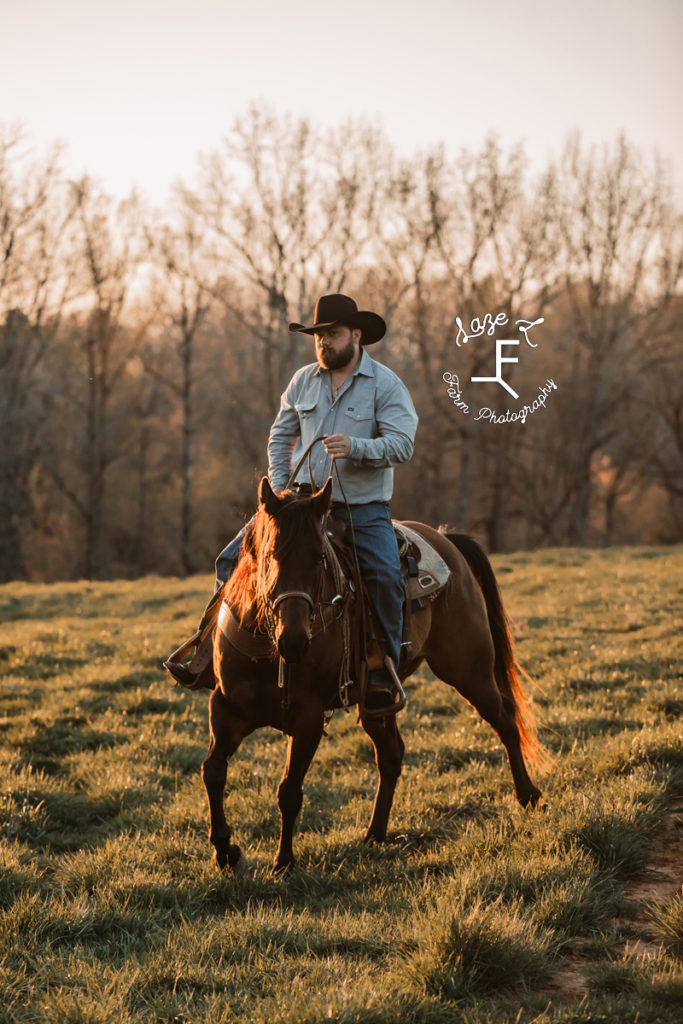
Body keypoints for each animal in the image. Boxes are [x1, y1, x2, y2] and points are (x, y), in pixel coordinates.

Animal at [201, 475, 544, 876]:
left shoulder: (308, 719)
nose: (295, 640)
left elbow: (289, 791)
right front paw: (225, 851)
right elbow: (213, 772)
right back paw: (375, 833)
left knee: (504, 716)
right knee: (392, 753)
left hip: (468, 668)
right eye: (270, 555)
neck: (271, 652)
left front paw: (283, 862)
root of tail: (447, 541)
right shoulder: (227, 709)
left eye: (319, 559)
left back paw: (529, 796)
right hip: (380, 698)